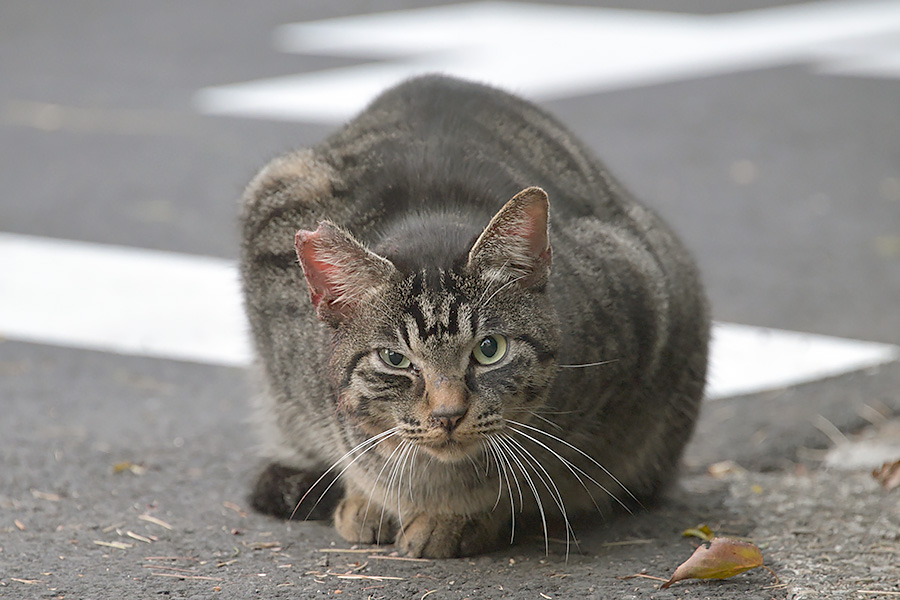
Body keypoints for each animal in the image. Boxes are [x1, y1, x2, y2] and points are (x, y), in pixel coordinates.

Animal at [239, 74, 712, 556]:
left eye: (489, 349)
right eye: (395, 359)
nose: (448, 415)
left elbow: (528, 475)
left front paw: (455, 517)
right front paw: (368, 497)